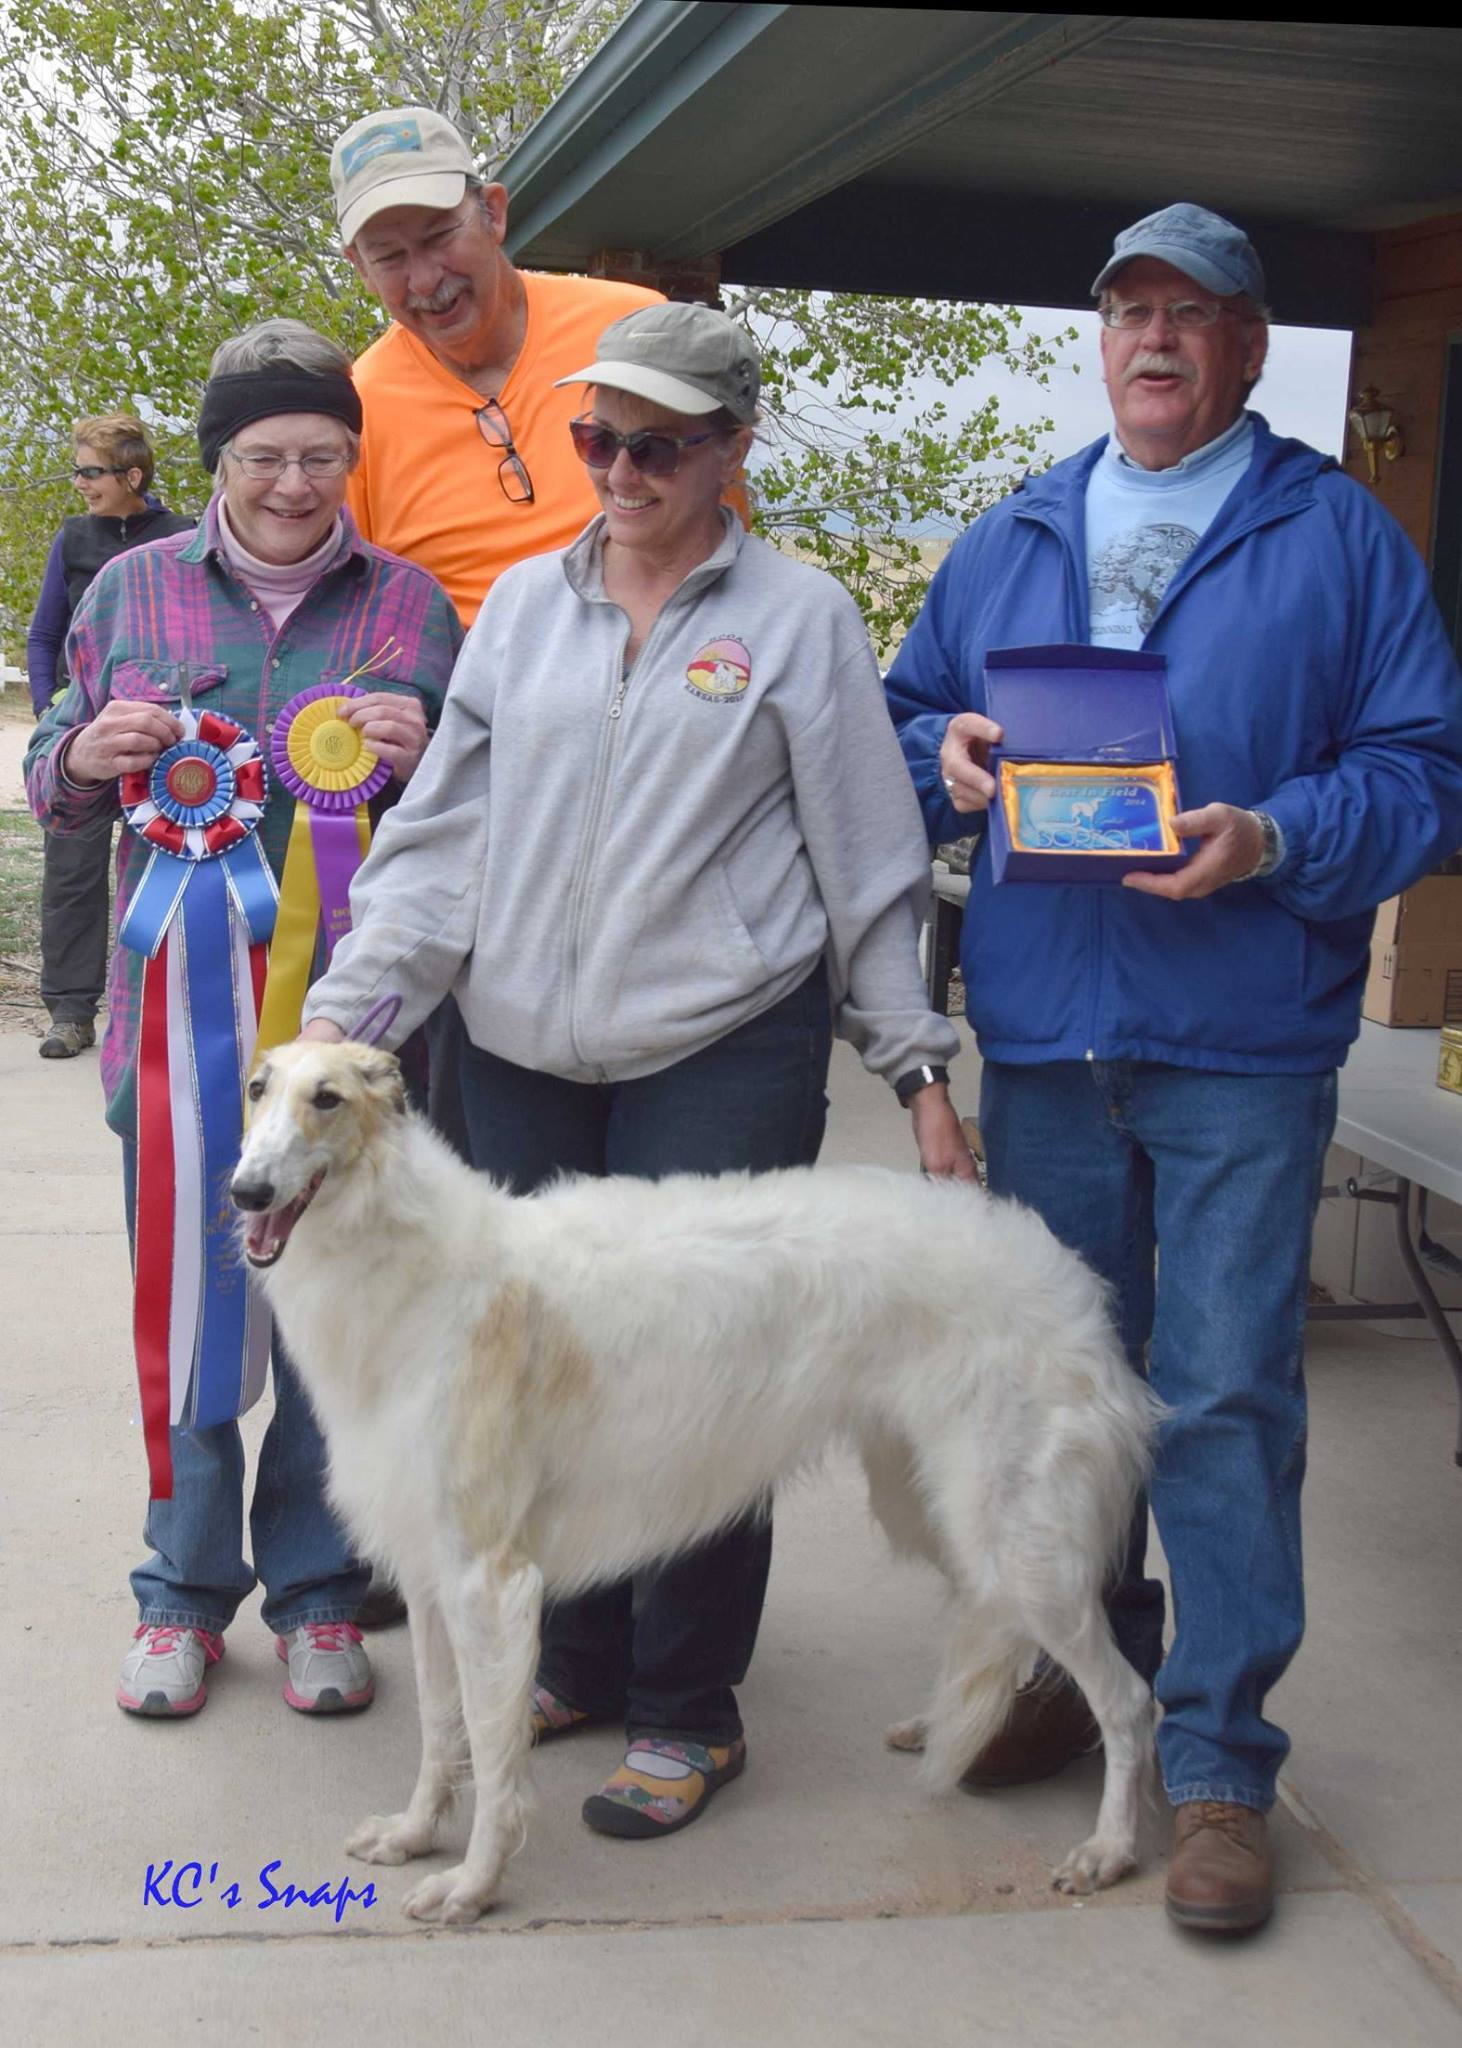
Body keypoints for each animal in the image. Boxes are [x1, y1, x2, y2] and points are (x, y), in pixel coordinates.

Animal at [233, 1048, 1154, 1925]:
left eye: (328, 1098)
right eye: (256, 1087)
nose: (246, 1192)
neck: (419, 1271)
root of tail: (1064, 1271)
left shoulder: (489, 1582)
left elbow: (493, 1761)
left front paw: (472, 1885)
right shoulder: (431, 1574)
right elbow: (438, 1729)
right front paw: (415, 1835)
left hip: (1013, 1535)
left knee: (1127, 1698)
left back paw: (1108, 1849)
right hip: (934, 1507)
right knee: (993, 1622)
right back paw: (942, 1725)